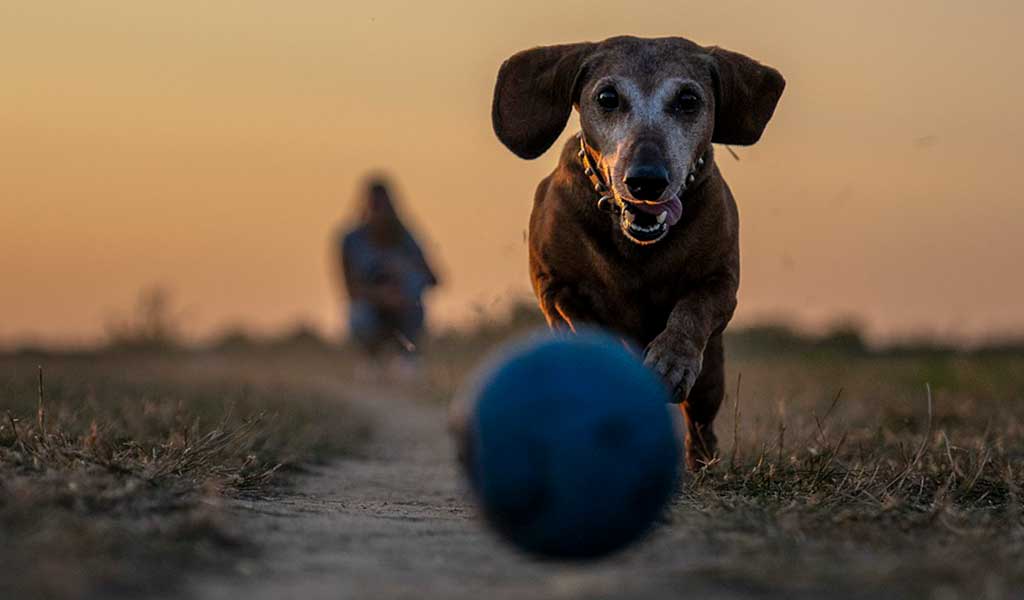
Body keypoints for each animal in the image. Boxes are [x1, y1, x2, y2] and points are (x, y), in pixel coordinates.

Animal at [489, 35, 782, 468]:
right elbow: (585, 320)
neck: (635, 244)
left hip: (711, 376)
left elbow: (692, 312)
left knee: (701, 420)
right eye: (607, 97)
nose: (646, 180)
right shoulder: (555, 287)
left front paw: (671, 360)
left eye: (688, 100)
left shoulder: (721, 283)